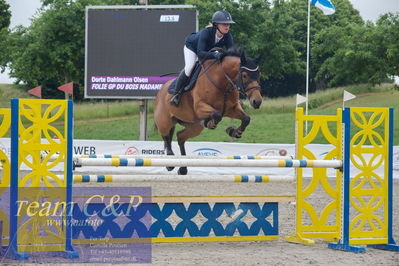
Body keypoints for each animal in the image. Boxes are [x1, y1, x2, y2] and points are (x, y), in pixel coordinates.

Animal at [155, 47, 264, 175]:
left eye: (259, 74)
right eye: (245, 75)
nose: (257, 101)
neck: (223, 83)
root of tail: (161, 89)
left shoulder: (231, 109)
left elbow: (246, 119)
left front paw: (234, 132)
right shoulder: (199, 107)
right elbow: (217, 115)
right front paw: (211, 123)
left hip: (195, 127)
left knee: (180, 136)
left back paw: (183, 168)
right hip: (164, 121)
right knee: (166, 136)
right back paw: (170, 163)